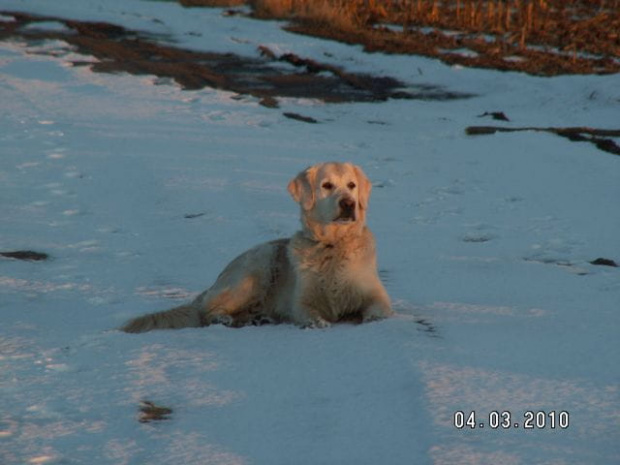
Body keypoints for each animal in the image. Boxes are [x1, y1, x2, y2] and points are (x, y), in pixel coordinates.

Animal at [121, 161, 392, 332]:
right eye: (326, 185)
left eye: (352, 185)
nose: (348, 204)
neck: (332, 246)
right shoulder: (301, 301)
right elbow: (310, 314)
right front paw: (318, 323)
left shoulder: (377, 296)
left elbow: (380, 311)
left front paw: (369, 317)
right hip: (259, 265)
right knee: (206, 311)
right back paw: (226, 318)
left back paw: (257, 318)